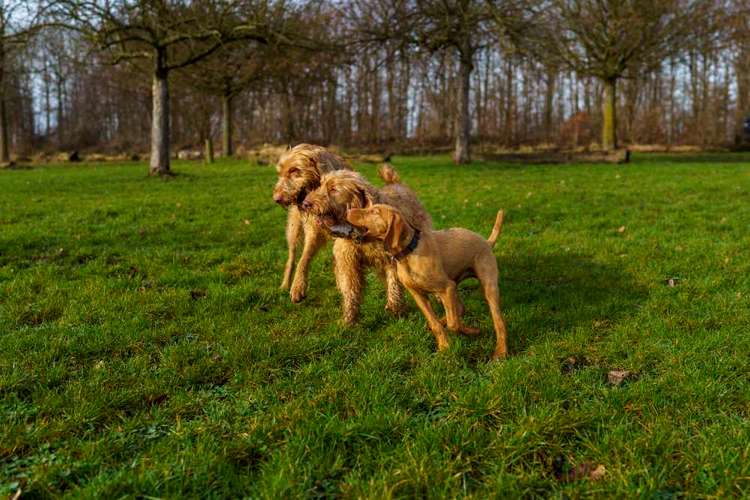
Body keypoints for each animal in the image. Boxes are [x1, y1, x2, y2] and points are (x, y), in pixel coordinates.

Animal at [272, 143, 352, 302]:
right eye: (280, 173)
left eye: (294, 170)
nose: (276, 199)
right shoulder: (313, 231)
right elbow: (303, 259)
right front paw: (297, 286)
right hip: (294, 231)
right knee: (291, 257)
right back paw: (285, 284)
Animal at [298, 166, 428, 326]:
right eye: (320, 185)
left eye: (333, 189)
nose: (305, 204)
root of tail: (396, 183)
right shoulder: (348, 263)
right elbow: (350, 290)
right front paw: (349, 319)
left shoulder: (392, 260)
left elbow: (394, 283)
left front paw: (395, 307)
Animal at [346, 203, 512, 360]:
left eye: (374, 211)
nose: (348, 210)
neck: (409, 252)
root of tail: (486, 242)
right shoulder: (419, 295)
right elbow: (435, 323)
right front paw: (444, 347)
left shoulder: (446, 287)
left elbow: (454, 324)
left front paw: (471, 331)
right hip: (454, 286)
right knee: (459, 309)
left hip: (487, 287)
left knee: (498, 321)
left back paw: (501, 351)